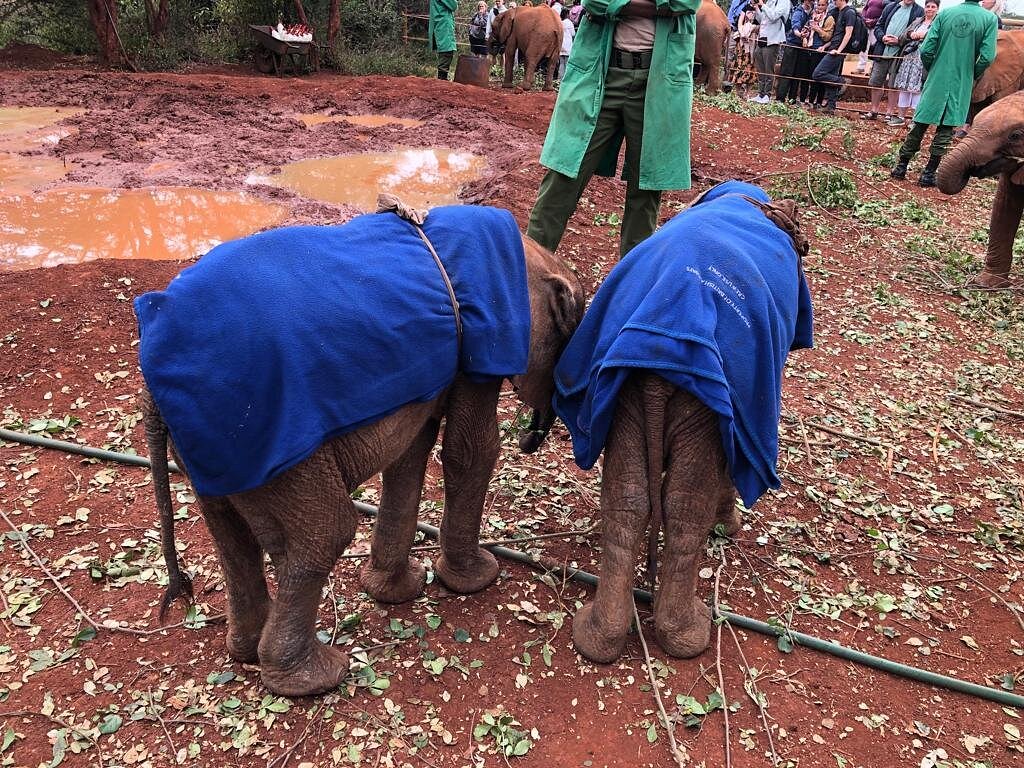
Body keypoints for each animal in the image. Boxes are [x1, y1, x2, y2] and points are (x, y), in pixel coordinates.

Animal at [138, 201, 585, 700]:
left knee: (230, 535)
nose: (534, 438)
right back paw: (317, 677)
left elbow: (411, 451)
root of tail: (151, 382)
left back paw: (247, 652)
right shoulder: (485, 341)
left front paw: (395, 592)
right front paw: (479, 579)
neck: (534, 257)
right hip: (265, 439)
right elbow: (470, 451)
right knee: (325, 532)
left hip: (212, 451)